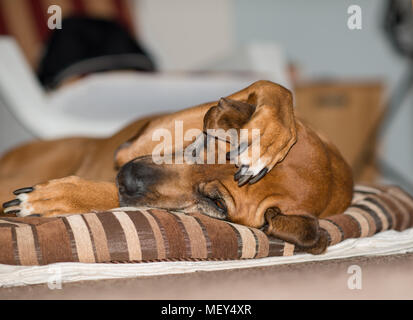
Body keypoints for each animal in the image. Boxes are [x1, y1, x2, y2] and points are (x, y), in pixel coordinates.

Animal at [1, 80, 352, 255]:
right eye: (204, 144)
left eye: (216, 203)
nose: (128, 177)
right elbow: (275, 88)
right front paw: (267, 135)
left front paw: (64, 196)